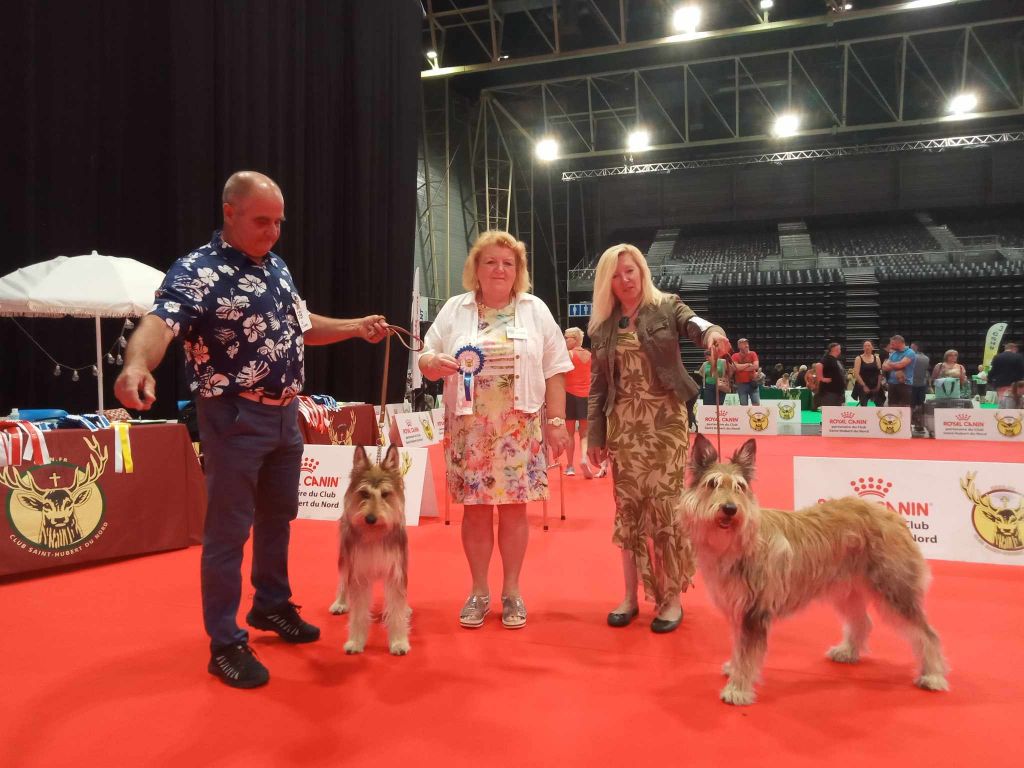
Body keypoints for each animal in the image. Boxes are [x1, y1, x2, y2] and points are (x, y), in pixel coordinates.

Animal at [325, 444, 409, 655]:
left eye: (385, 494)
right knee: (342, 581)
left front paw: (399, 641)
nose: (370, 518)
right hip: (345, 556)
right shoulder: (359, 573)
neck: (375, 533)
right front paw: (355, 641)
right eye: (364, 494)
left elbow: (397, 609)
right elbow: (359, 612)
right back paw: (340, 603)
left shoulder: (396, 572)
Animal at [684, 436, 946, 708]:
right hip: (846, 590)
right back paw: (847, 652)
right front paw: (734, 669)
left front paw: (738, 689)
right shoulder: (738, 609)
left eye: (740, 487)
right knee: (862, 622)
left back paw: (933, 675)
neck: (738, 542)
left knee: (926, 633)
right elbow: (739, 647)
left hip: (895, 589)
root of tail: (893, 515)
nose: (730, 508)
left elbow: (747, 653)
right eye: (712, 483)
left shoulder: (754, 612)